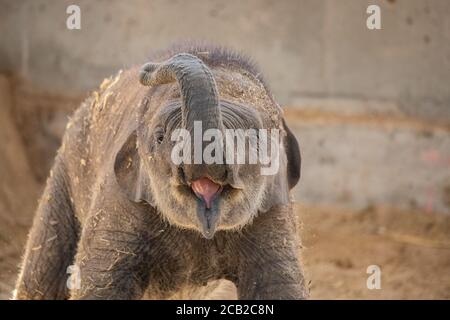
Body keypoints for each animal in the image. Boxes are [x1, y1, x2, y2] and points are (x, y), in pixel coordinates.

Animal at [14, 45, 310, 300]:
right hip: (65, 168)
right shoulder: (119, 198)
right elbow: (101, 282)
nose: (149, 68)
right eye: (160, 137)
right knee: (42, 274)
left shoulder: (274, 209)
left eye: (254, 137)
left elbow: (278, 286)